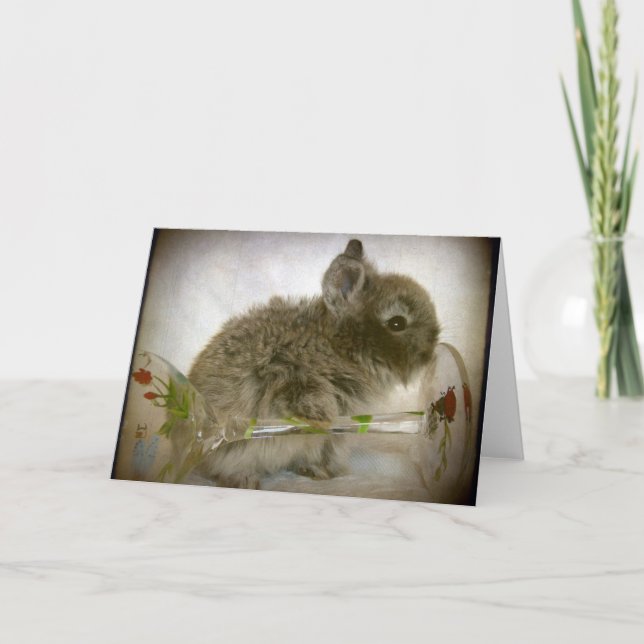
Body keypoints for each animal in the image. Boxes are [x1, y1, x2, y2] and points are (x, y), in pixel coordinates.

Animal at [186, 238, 440, 489]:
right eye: (397, 323)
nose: (429, 353)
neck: (341, 347)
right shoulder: (288, 374)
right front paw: (320, 424)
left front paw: (319, 472)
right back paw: (244, 479)